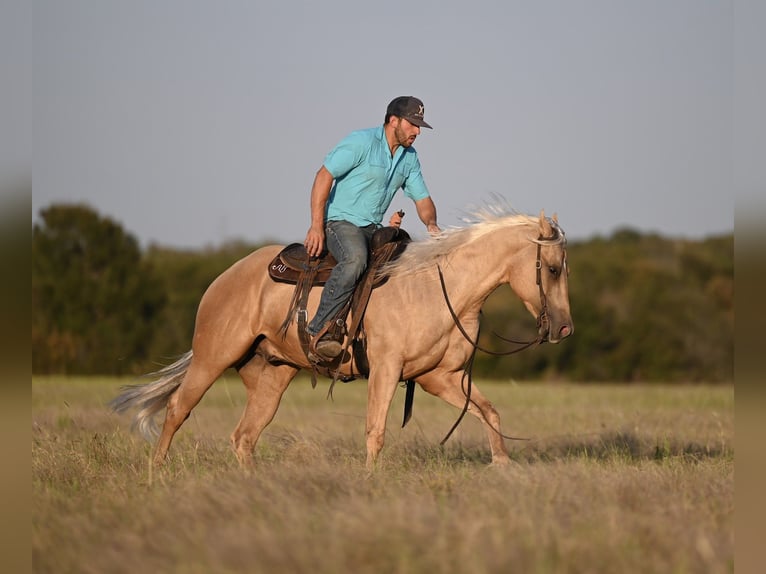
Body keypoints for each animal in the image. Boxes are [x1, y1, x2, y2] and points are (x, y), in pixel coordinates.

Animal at [111, 205, 572, 470]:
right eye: (551, 269)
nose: (564, 328)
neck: (439, 287)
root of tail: (225, 277)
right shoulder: (387, 370)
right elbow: (376, 430)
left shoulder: (441, 378)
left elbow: (489, 413)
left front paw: (503, 467)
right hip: (213, 357)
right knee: (177, 409)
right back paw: (157, 475)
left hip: (273, 375)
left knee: (244, 436)